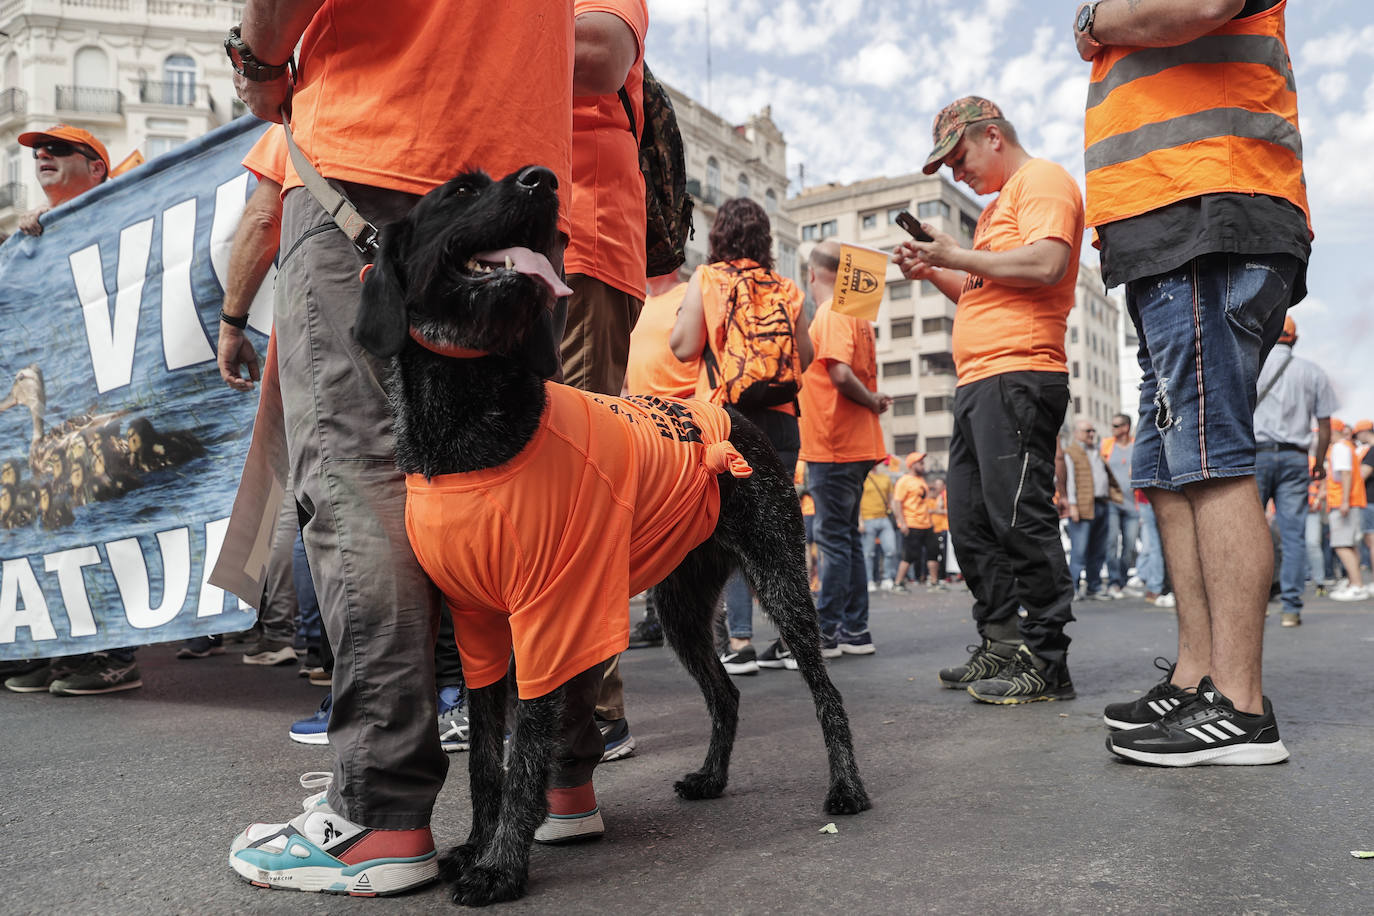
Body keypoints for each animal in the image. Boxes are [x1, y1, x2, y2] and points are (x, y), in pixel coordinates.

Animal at [354, 166, 868, 911]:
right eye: (459, 193)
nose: (541, 181)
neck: (467, 424)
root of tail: (731, 417)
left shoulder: (547, 621)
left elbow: (525, 757)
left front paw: (503, 865)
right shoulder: (478, 629)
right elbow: (484, 758)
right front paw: (478, 844)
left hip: (781, 583)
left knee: (826, 694)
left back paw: (847, 787)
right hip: (682, 608)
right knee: (726, 694)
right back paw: (711, 777)